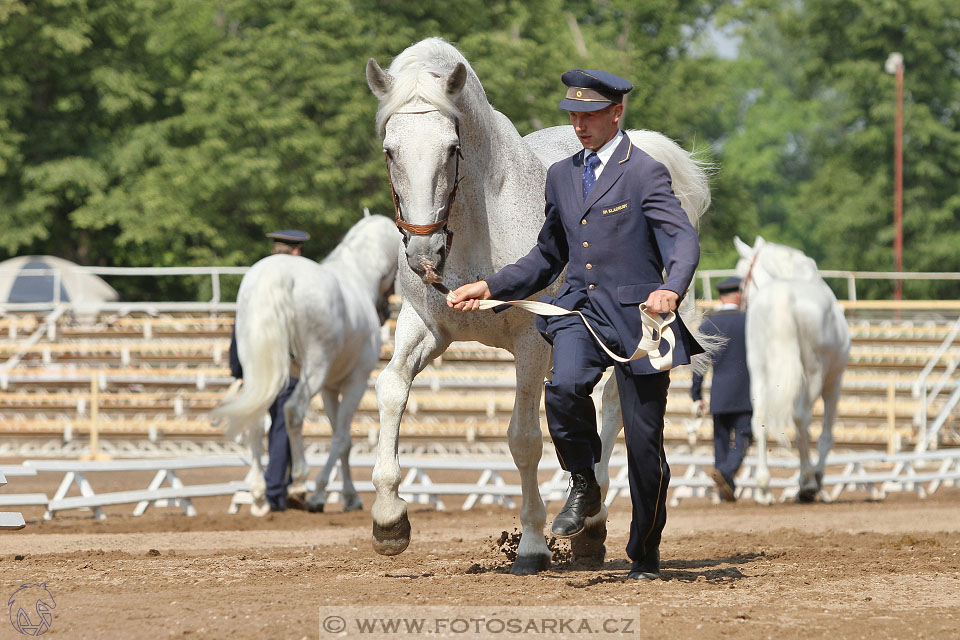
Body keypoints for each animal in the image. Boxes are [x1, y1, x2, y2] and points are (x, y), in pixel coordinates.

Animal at [214, 214, 398, 516]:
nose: (384, 310)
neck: (356, 276)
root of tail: (277, 275)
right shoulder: (355, 382)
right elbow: (341, 438)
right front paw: (321, 494)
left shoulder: (330, 388)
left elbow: (342, 439)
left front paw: (349, 497)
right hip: (315, 368)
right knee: (292, 411)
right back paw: (299, 482)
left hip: (258, 370)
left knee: (255, 419)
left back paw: (258, 492)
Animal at [736, 236, 848, 504]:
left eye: (741, 279)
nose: (740, 304)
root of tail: (782, 295)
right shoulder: (834, 382)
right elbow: (825, 436)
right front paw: (817, 477)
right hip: (816, 375)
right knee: (801, 418)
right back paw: (807, 483)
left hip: (760, 372)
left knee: (760, 419)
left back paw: (764, 488)